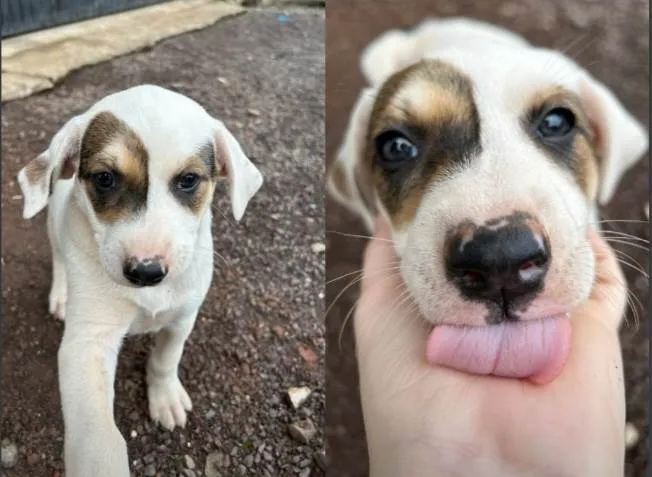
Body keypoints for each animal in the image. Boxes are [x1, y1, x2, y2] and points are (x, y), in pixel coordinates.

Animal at [16, 84, 264, 476]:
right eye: (105, 178)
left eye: (188, 180)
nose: (146, 271)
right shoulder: (87, 343)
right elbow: (97, 436)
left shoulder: (183, 317)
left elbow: (165, 359)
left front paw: (165, 397)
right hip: (53, 226)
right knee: (58, 260)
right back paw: (60, 294)